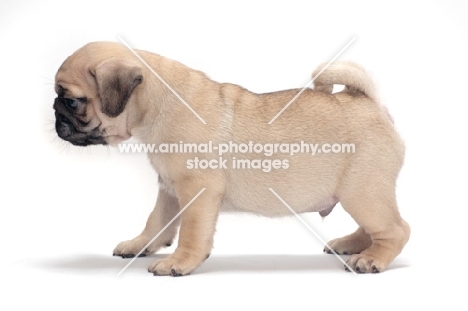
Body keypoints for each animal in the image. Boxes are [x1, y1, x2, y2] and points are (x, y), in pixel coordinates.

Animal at [52, 40, 410, 276]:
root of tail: (367, 101)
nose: (54, 113)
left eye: (72, 102)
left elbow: (191, 232)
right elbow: (156, 221)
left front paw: (179, 262)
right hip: (360, 194)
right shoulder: (170, 190)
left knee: (396, 229)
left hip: (361, 191)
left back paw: (371, 259)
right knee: (373, 228)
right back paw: (352, 245)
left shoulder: (197, 191)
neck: (158, 103)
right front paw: (140, 244)